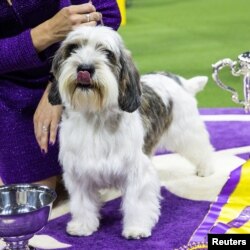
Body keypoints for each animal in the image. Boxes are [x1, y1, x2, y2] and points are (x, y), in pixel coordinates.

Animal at [48, 26, 215, 239]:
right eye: (73, 49)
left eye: (107, 53)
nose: (84, 68)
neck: (96, 118)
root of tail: (175, 79)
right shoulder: (79, 174)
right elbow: (82, 203)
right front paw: (83, 226)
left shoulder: (136, 171)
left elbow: (137, 202)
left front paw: (136, 228)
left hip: (187, 131)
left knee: (202, 148)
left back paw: (206, 168)